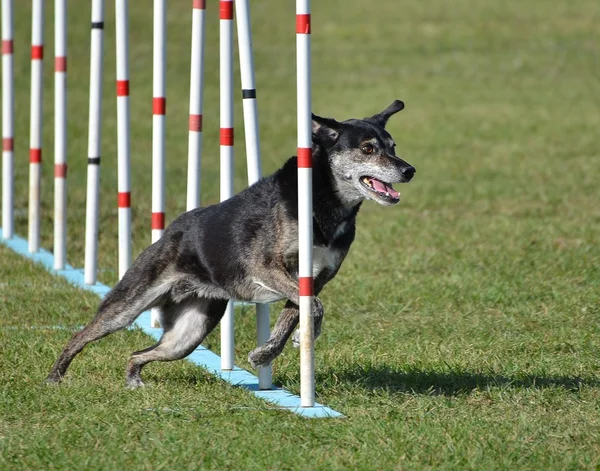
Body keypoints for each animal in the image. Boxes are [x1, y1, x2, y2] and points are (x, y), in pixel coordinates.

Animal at [47, 100, 414, 388]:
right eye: (367, 148)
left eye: (393, 146)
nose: (409, 170)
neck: (324, 201)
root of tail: (171, 232)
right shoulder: (265, 267)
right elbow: (315, 308)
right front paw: (300, 337)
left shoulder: (314, 279)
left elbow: (294, 316)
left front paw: (266, 352)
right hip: (130, 302)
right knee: (82, 334)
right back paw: (55, 376)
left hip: (189, 333)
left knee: (139, 353)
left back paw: (133, 379)